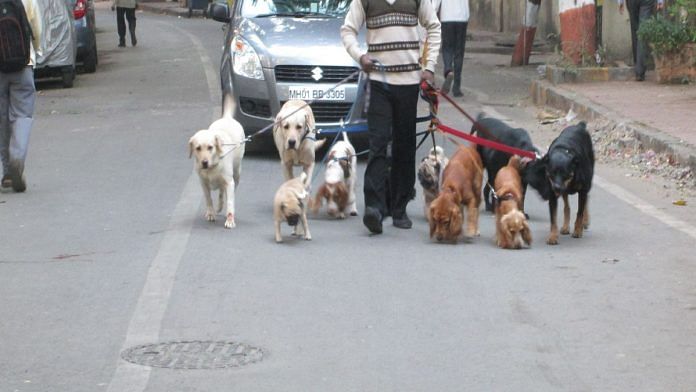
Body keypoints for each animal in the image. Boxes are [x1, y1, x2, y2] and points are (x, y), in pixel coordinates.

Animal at [189, 95, 246, 230]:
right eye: (198, 148)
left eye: (210, 147)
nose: (204, 162)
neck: (212, 167)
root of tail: (227, 118)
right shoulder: (203, 183)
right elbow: (208, 199)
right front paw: (210, 213)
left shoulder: (229, 182)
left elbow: (230, 202)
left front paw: (230, 220)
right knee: (220, 192)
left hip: (237, 174)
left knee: (227, 191)